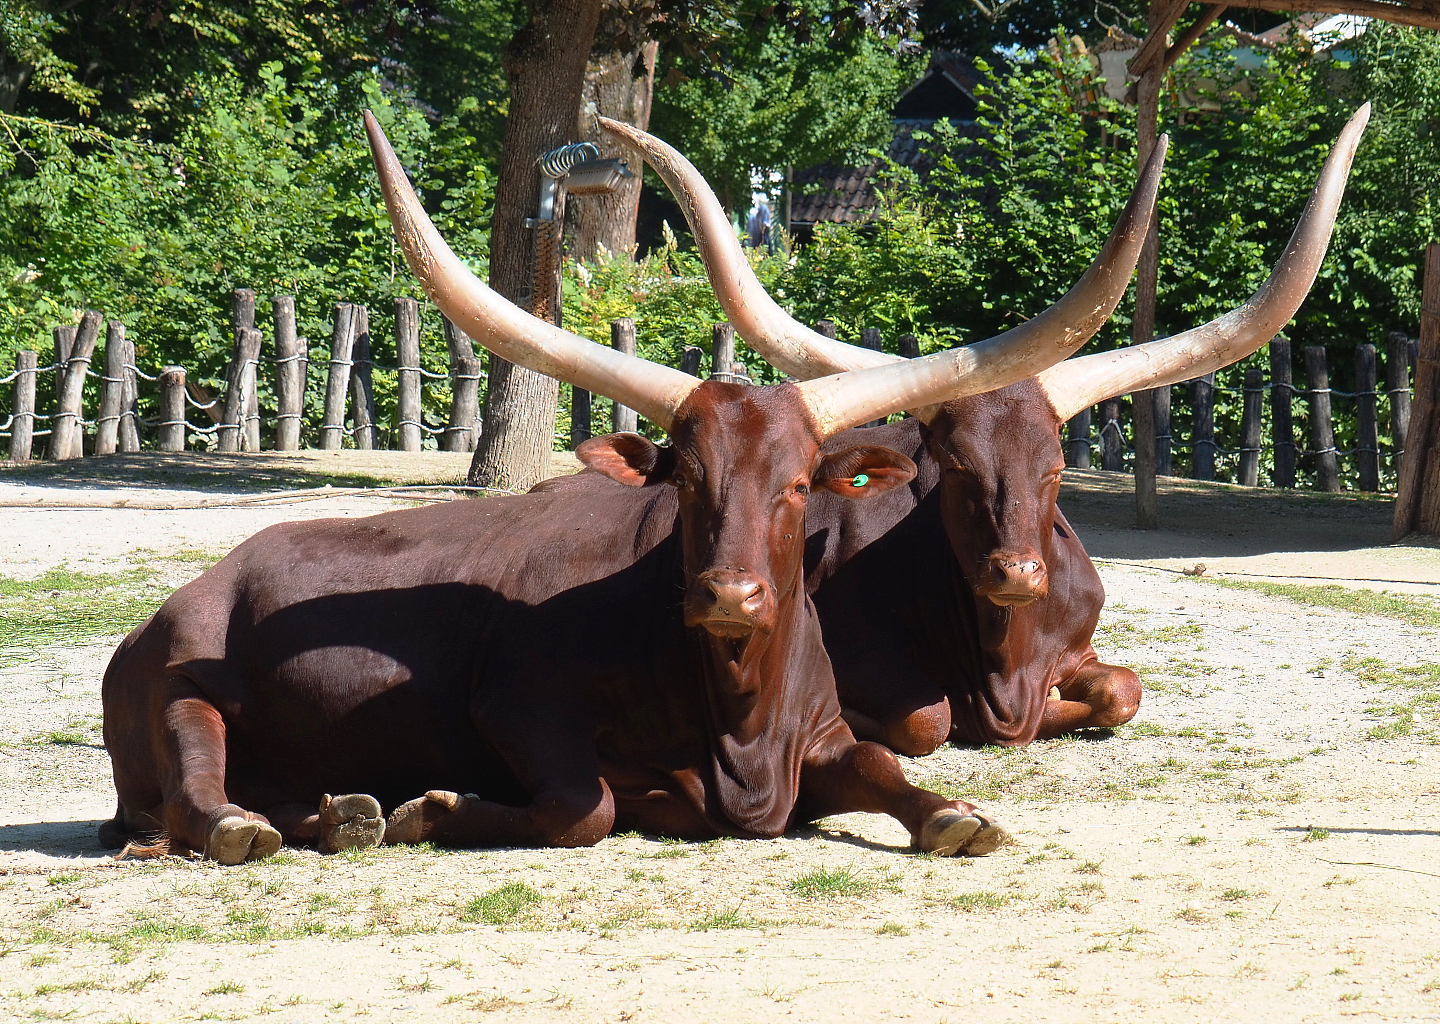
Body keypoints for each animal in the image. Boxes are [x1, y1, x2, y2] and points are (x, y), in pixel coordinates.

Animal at [96, 111, 1160, 864]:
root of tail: (191, 592)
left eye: (797, 485)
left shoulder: (826, 732)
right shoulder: (520, 706)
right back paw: (278, 823)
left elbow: (888, 763)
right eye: (687, 479)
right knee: (197, 793)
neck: (742, 712)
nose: (730, 594)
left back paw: (339, 812)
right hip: (179, 688)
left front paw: (955, 814)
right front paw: (438, 806)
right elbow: (585, 805)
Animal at [604, 105, 1369, 753]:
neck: (1008, 655)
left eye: (1056, 469)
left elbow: (1123, 691)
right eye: (956, 467)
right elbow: (927, 718)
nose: (1018, 572)